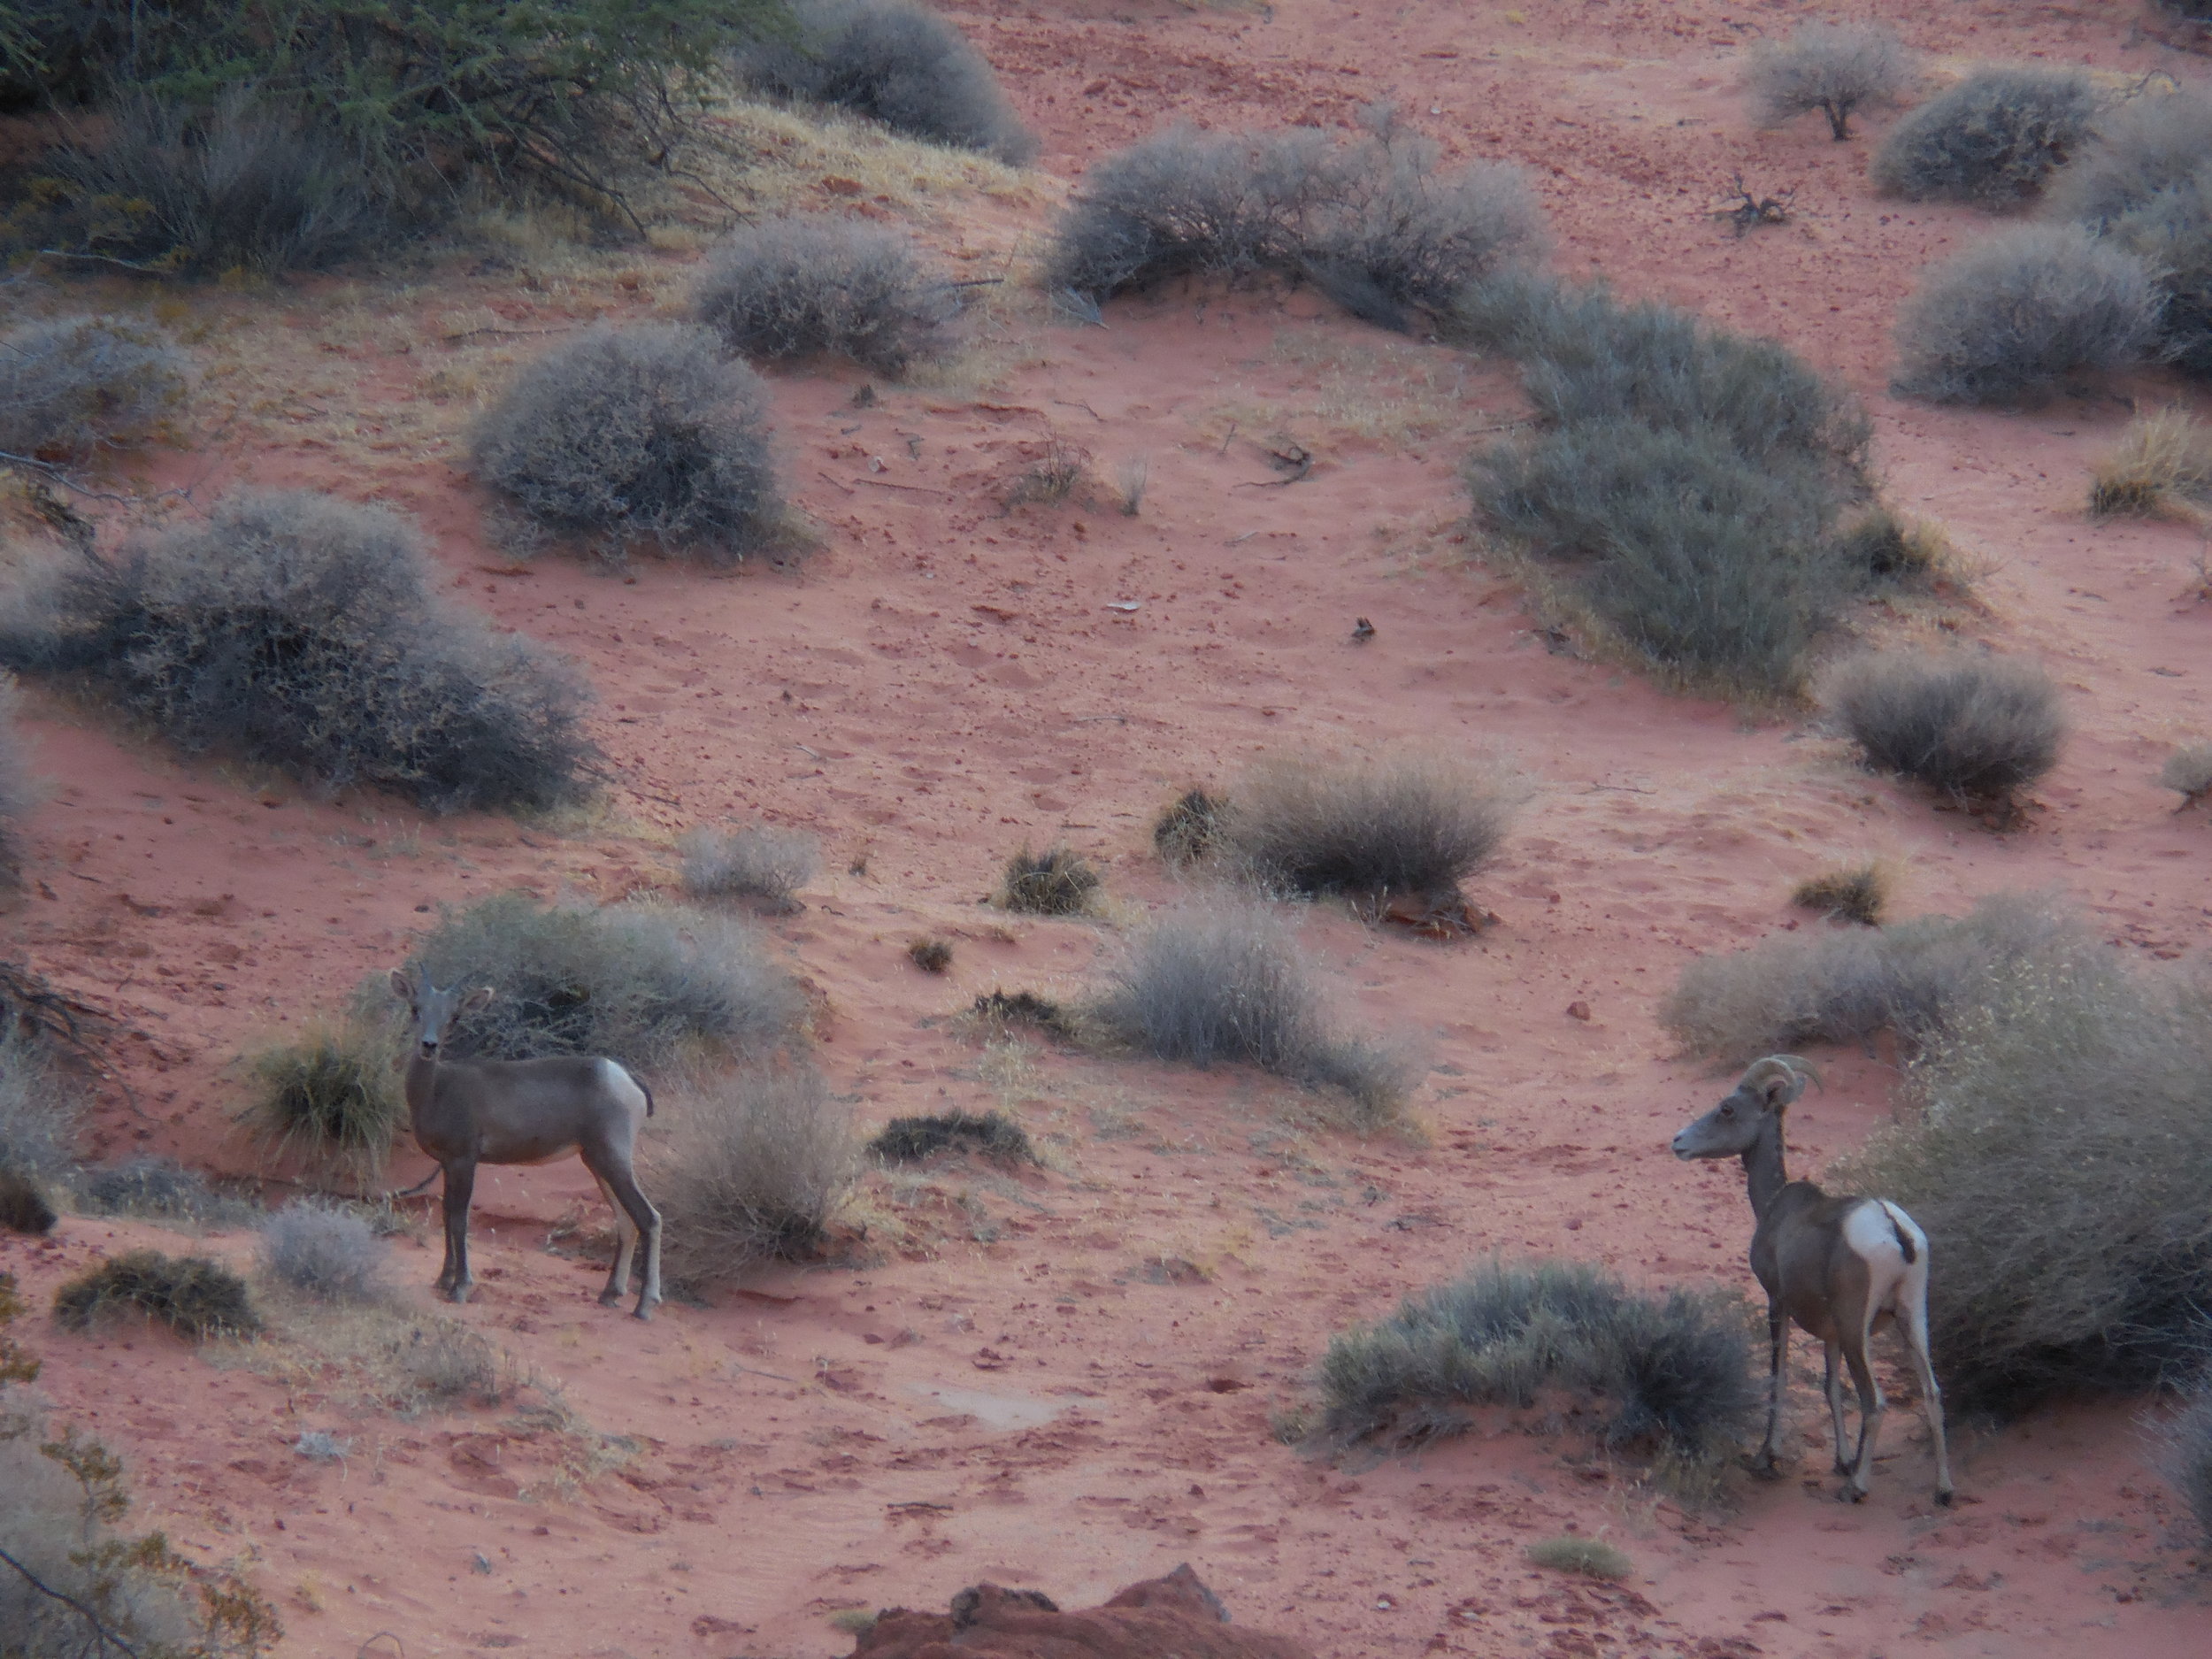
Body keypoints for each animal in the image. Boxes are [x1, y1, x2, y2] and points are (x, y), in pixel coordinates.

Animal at [389, 973, 664, 1327]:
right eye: (415, 1009)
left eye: (454, 1016)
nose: (429, 1045)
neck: (437, 1091)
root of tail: (628, 1081)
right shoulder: (449, 1164)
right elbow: (447, 1215)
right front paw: (442, 1281)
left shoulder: (464, 1161)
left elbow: (460, 1219)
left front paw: (460, 1288)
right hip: (596, 1162)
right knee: (626, 1221)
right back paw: (609, 1295)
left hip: (612, 1160)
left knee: (649, 1218)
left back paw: (643, 1307)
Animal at [1672, 1066, 1955, 1504]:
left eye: (1728, 1109)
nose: (1679, 1141)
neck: (1776, 1208)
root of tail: (1892, 1228)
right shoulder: (1831, 1334)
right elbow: (1831, 1389)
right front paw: (1842, 1461)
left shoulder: (1778, 1303)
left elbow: (1780, 1375)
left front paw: (1766, 1457)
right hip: (1911, 1317)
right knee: (1932, 1392)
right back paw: (1942, 1490)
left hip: (1859, 1331)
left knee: (1875, 1401)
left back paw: (1856, 1489)